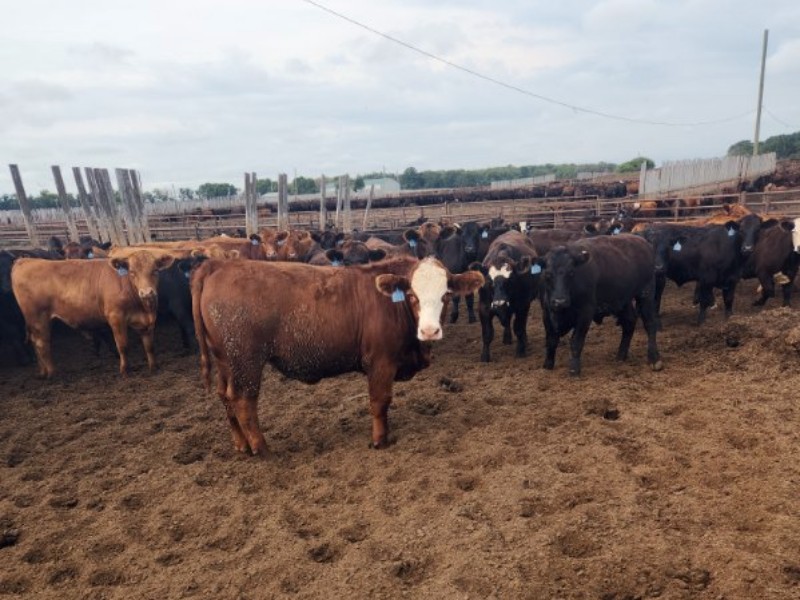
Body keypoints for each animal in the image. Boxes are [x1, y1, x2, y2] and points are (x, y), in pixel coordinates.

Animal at [11, 251, 175, 377]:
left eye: (155, 271)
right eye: (132, 272)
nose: (147, 292)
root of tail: (24, 260)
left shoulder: (146, 322)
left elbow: (149, 346)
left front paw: (154, 368)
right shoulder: (116, 317)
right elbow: (122, 345)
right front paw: (125, 371)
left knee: (35, 341)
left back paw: (43, 372)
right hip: (38, 318)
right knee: (42, 343)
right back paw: (52, 373)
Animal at [191, 256, 484, 455]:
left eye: (446, 295)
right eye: (412, 295)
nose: (430, 330)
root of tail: (218, 265)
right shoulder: (380, 362)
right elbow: (380, 402)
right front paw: (380, 440)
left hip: (225, 361)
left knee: (225, 397)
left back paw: (241, 444)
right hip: (246, 361)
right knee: (243, 402)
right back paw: (261, 448)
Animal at [471, 231, 539, 362]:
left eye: (510, 279)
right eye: (489, 280)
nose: (500, 303)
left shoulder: (522, 306)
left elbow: (519, 328)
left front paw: (520, 351)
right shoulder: (484, 308)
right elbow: (487, 333)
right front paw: (485, 356)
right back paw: (507, 338)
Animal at [537, 234, 662, 376]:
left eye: (571, 273)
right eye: (547, 274)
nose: (560, 301)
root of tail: (642, 241)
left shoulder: (585, 312)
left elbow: (576, 341)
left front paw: (574, 368)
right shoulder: (546, 312)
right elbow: (551, 340)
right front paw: (548, 365)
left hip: (646, 293)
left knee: (650, 323)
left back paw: (654, 358)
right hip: (622, 300)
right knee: (629, 321)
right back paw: (621, 355)